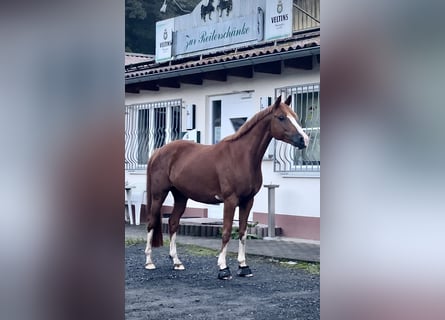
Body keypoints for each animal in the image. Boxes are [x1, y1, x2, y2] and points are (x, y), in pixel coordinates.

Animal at [144, 94, 306, 278]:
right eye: (281, 117)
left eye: (295, 117)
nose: (304, 140)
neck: (241, 156)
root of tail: (158, 152)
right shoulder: (230, 200)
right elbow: (227, 231)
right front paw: (223, 268)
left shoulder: (247, 201)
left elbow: (242, 232)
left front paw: (243, 266)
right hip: (159, 194)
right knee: (151, 223)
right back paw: (149, 262)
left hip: (180, 196)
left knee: (172, 223)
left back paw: (177, 262)